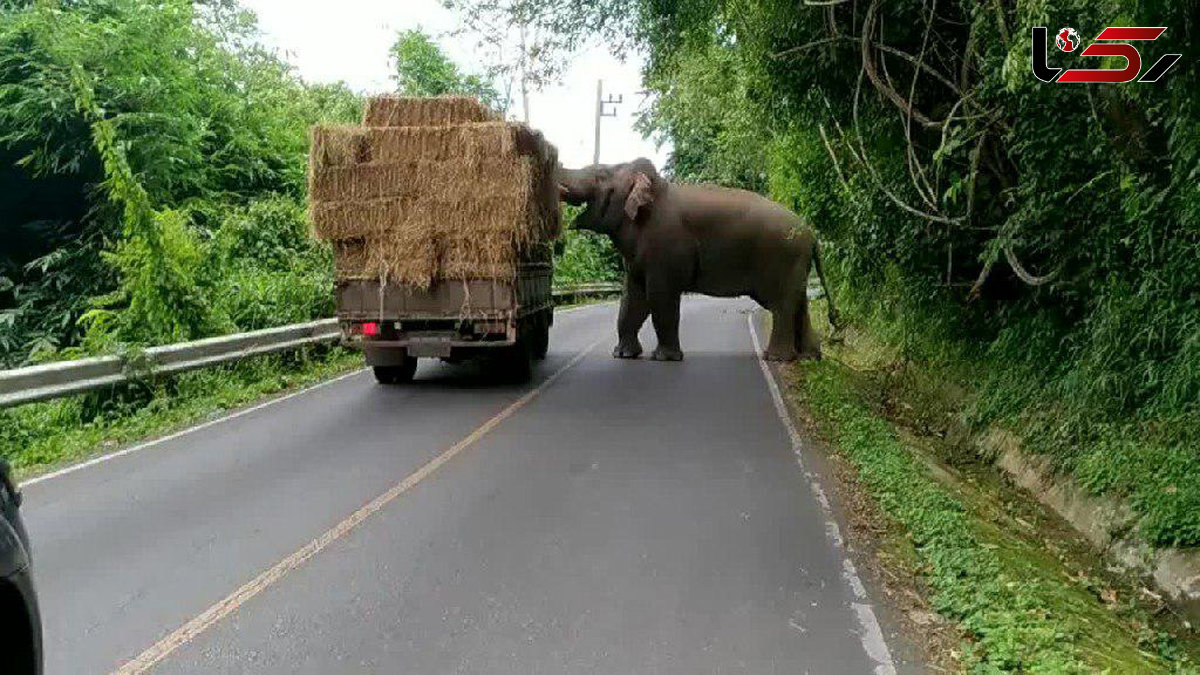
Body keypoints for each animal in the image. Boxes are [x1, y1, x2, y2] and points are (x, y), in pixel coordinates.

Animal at [559, 157, 835, 360]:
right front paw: (624, 355)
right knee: (800, 303)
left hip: (783, 258)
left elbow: (660, 296)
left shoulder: (666, 248)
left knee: (783, 305)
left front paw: (665, 358)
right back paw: (810, 357)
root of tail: (812, 235)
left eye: (599, 175)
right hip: (797, 264)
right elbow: (632, 298)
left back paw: (777, 358)